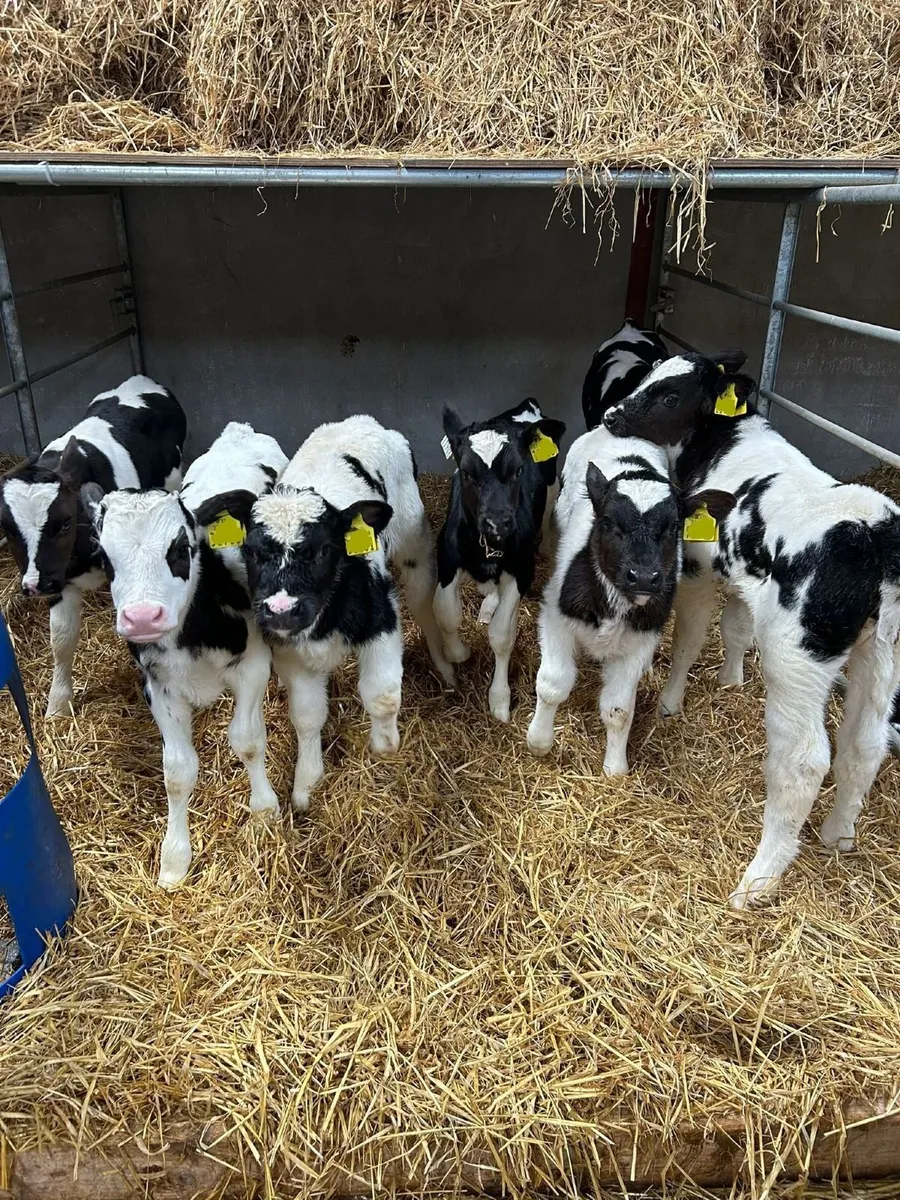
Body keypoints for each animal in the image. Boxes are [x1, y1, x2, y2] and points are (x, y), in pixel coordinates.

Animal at [0, 375, 186, 716]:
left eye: (65, 522)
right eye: (6, 527)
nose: (35, 585)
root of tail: (142, 380)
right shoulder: (61, 582)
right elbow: (61, 638)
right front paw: (58, 704)